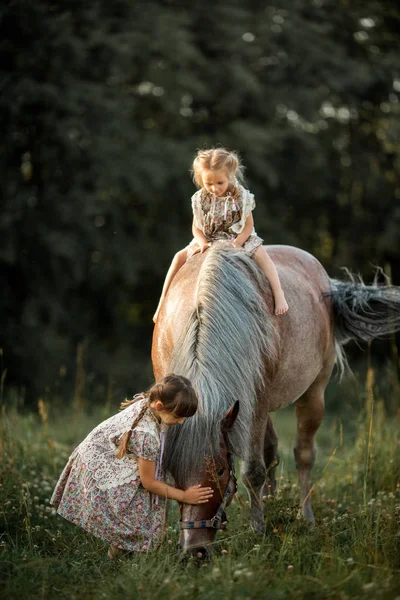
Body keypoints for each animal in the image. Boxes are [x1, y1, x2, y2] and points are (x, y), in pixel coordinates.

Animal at [151, 244, 400, 556]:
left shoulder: (254, 403)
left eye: (220, 471)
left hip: (311, 395)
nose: (194, 550)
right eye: (175, 473)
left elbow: (252, 472)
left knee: (303, 454)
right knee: (271, 451)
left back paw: (306, 517)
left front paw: (258, 532)